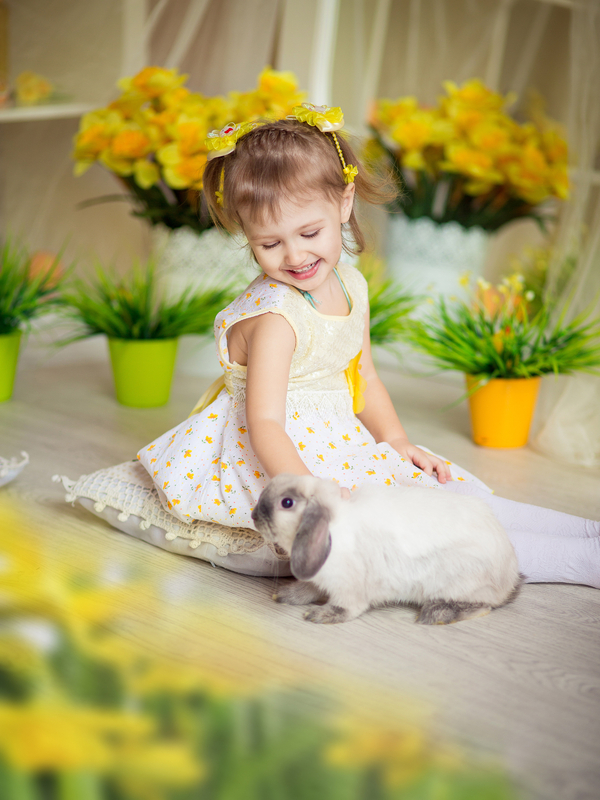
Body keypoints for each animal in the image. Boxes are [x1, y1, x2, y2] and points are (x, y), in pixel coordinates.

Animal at [251, 474, 521, 625]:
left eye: (287, 503)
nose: (253, 516)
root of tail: (509, 577)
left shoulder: (349, 588)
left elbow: (347, 608)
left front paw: (320, 616)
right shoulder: (318, 577)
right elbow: (308, 589)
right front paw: (285, 595)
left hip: (459, 582)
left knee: (482, 606)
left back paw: (435, 615)